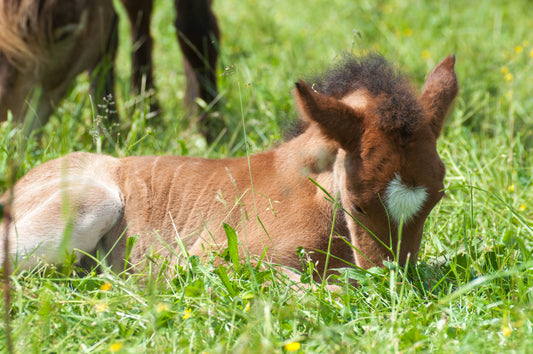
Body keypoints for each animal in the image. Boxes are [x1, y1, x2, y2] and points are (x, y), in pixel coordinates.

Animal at [0, 0, 218, 134]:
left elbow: (193, 28)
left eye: (65, 33)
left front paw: (207, 129)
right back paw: (147, 108)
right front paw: (108, 133)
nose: (8, 125)